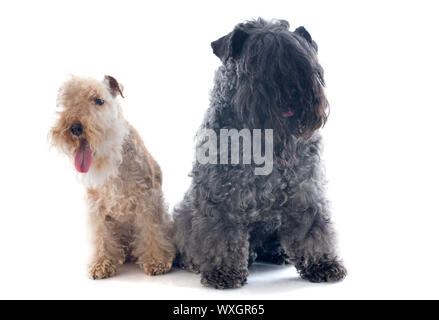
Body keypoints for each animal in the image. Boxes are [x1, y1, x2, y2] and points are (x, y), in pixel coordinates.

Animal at [174, 17, 348, 288]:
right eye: (257, 62)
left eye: (303, 60)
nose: (292, 90)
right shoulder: (221, 196)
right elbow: (221, 233)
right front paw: (223, 271)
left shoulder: (305, 191)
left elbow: (313, 228)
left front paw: (322, 263)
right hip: (185, 211)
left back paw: (277, 253)